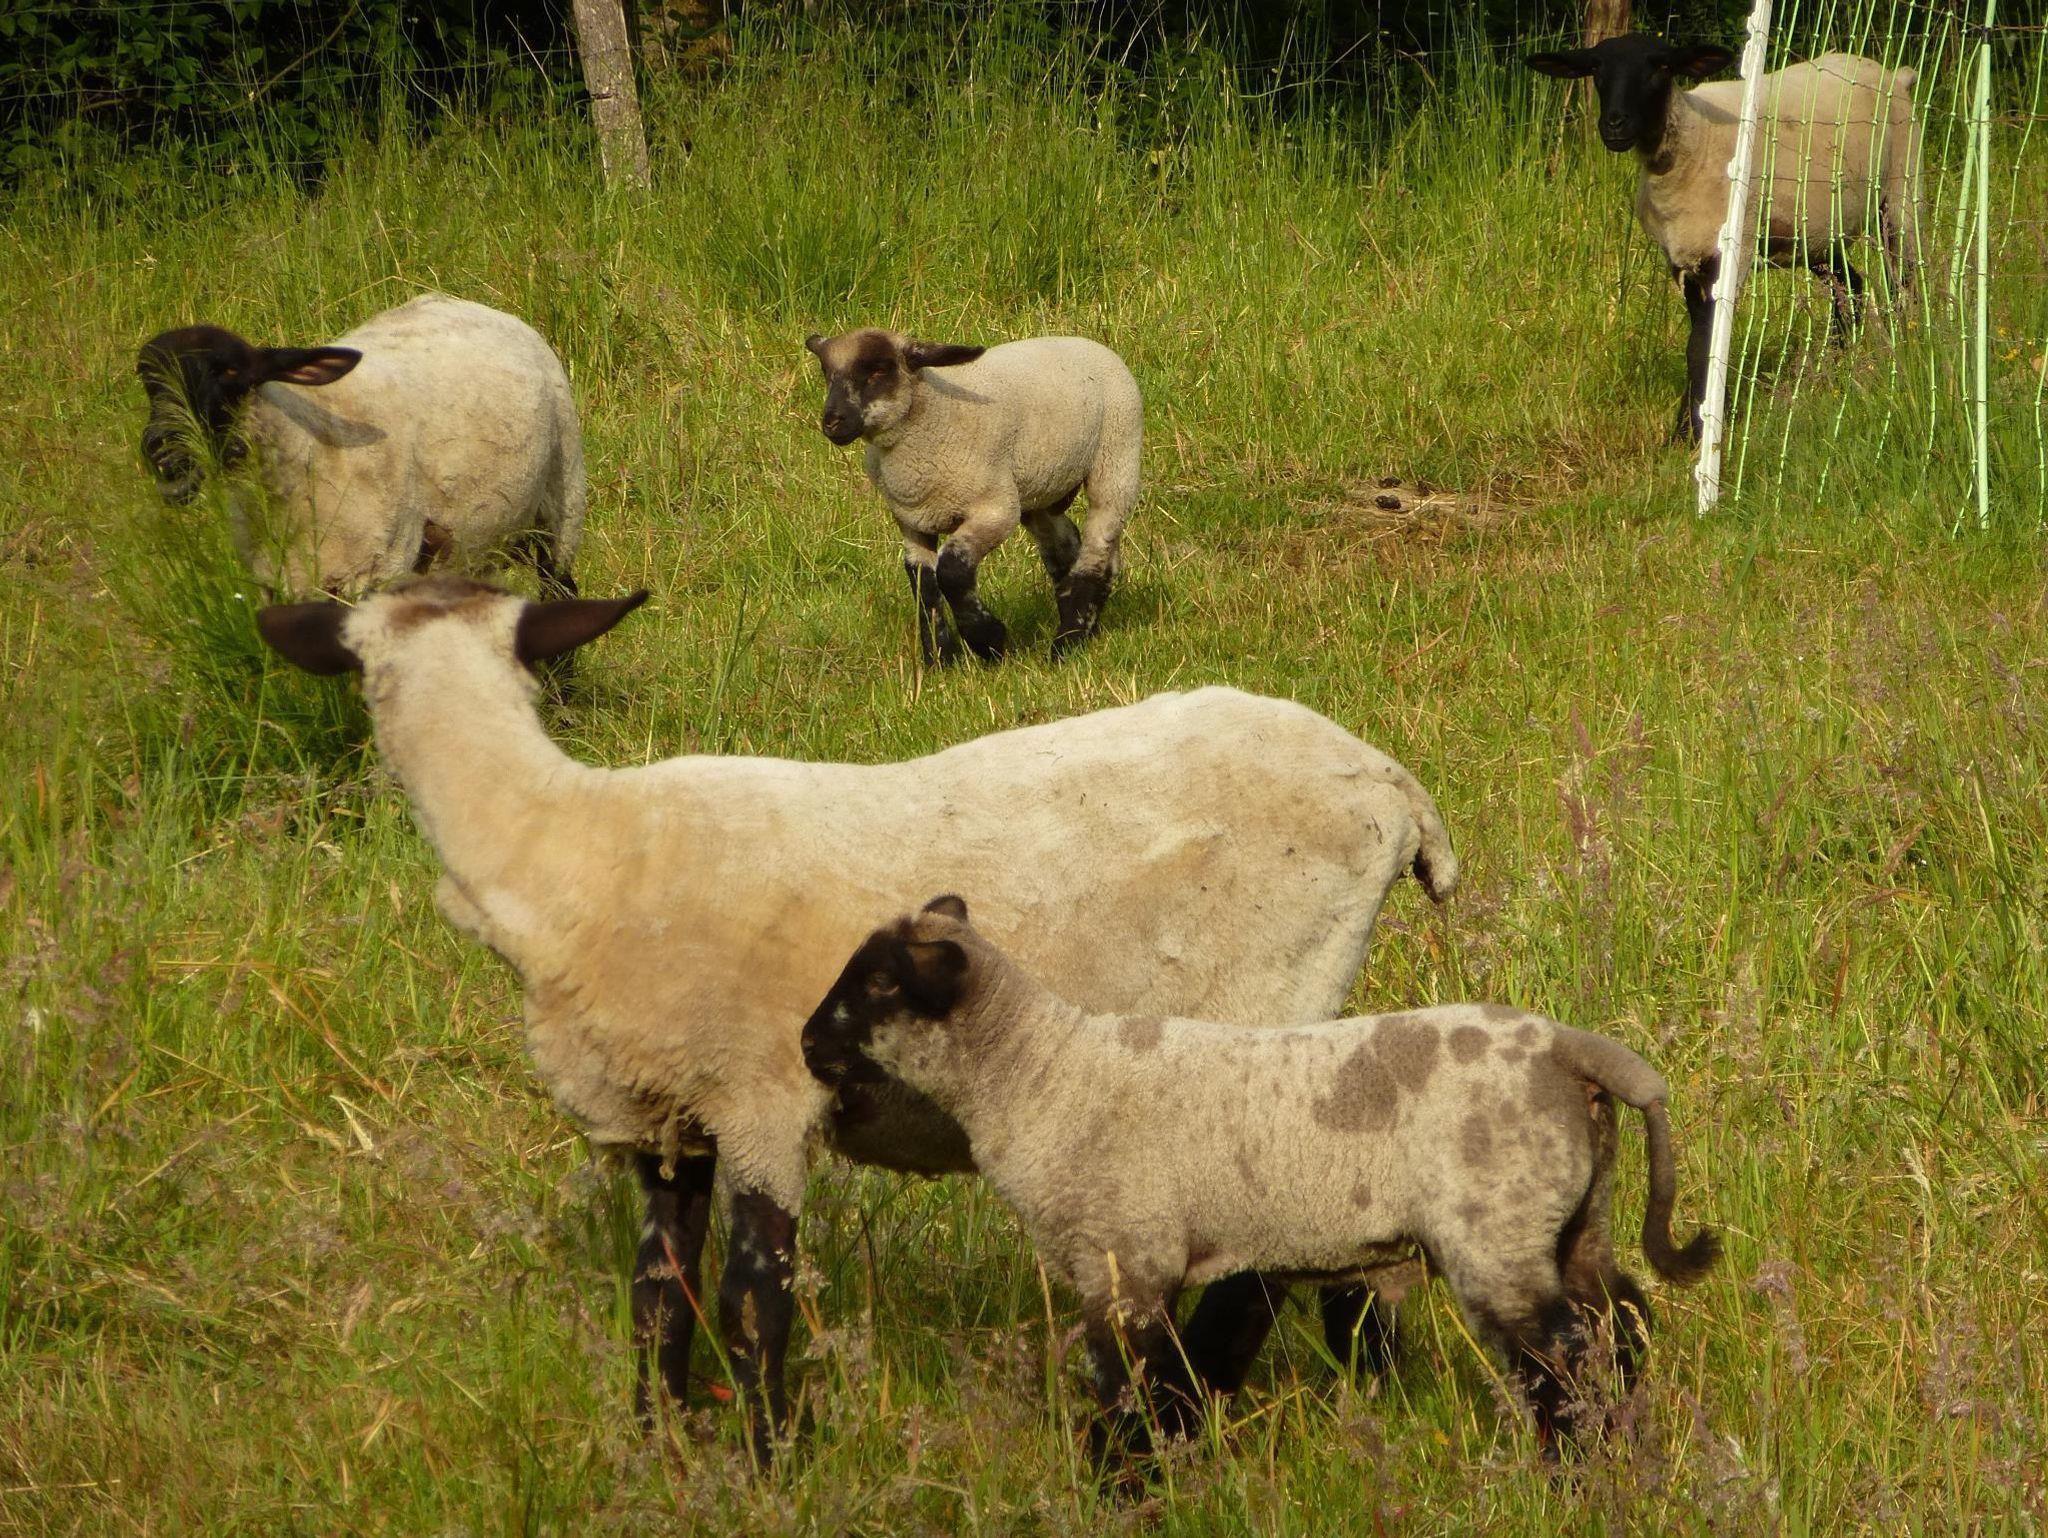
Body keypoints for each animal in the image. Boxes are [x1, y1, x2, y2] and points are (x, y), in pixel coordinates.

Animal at [137, 294, 586, 597]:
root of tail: (466, 303)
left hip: (562, 499)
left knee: (559, 587)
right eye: (147, 381)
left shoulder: (380, 569)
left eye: (229, 373)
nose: (161, 450)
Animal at [254, 574, 1461, 1459]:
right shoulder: (666, 1121)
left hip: (1269, 993)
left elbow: (751, 1301)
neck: (569, 848)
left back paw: (1178, 1417)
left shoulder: (762, 1097)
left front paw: (765, 1465)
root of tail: (1389, 783)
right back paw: (1351, 1391)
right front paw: (658, 1452)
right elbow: (658, 1298)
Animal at [801, 897, 1721, 1461]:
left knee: (1561, 1358)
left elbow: (1135, 1393)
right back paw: (1628, 1448)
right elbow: (1167, 1388)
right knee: (1620, 1323)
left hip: (1495, 1229)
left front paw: (1125, 1485)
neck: (1042, 1076)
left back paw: (1574, 1468)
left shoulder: (1126, 1264)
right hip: (1577, 1218)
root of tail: (1572, 1051)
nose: (807, 1044)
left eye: (877, 982)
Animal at [802, 329, 1142, 662]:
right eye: (827, 373)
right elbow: (923, 584)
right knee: (1067, 547)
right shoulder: (912, 521)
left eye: (878, 370)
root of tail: (1086, 342)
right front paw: (939, 659)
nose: (832, 422)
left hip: (1116, 461)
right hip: (1040, 489)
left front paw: (989, 640)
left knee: (1097, 550)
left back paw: (1066, 642)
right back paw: (1084, 628)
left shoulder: (995, 510)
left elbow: (951, 571)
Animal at [1525, 36, 1920, 442]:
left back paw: (1906, 347)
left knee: (1902, 280)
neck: (1690, 138)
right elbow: (1697, 343)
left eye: (1662, 67)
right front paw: (1690, 424)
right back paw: (1837, 366)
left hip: (1900, 191)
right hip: (1816, 233)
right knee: (1851, 287)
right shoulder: (1683, 259)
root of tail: (1894, 74)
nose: (1615, 124)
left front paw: (1700, 430)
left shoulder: (1733, 253)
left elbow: (1706, 343)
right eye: (1596, 68)